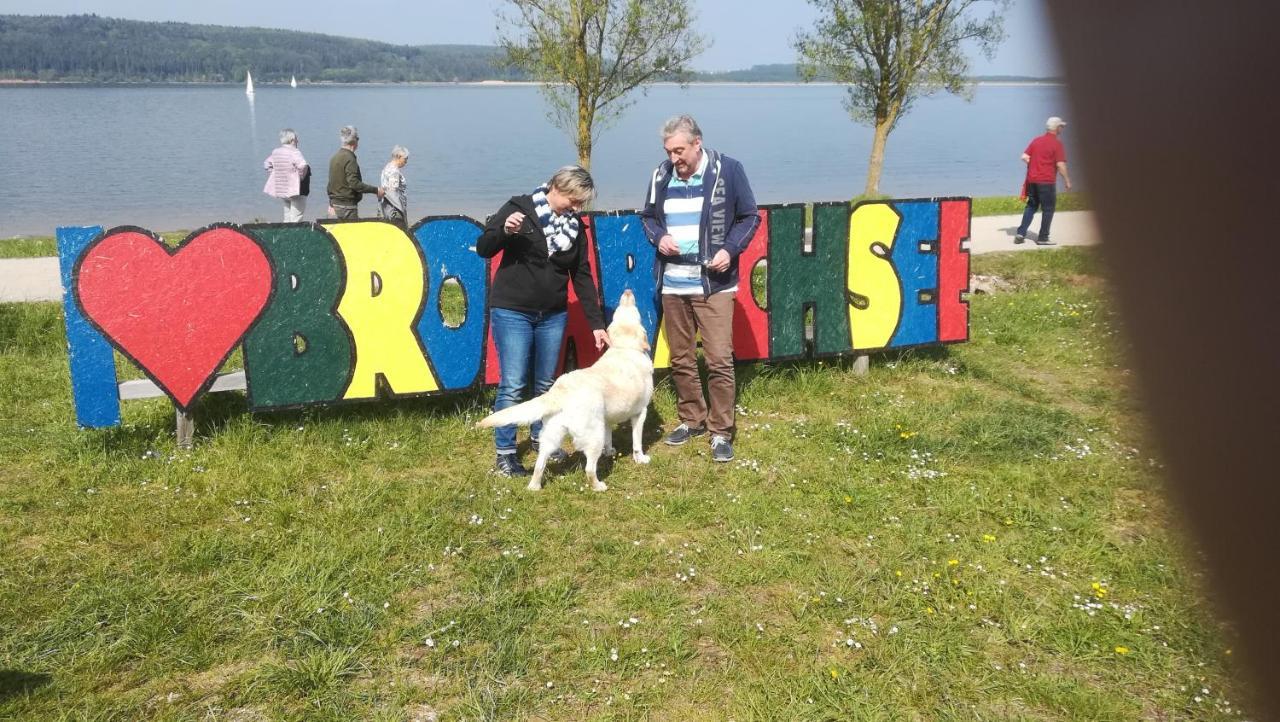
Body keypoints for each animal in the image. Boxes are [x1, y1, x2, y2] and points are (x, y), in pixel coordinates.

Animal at [478, 288, 655, 491]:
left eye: (619, 311)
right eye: (635, 312)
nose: (627, 291)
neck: (624, 347)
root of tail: (560, 392)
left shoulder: (607, 419)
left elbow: (610, 436)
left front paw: (610, 451)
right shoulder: (640, 413)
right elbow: (637, 442)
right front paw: (640, 458)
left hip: (550, 436)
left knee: (540, 464)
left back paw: (534, 487)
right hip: (593, 436)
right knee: (589, 469)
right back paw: (599, 486)